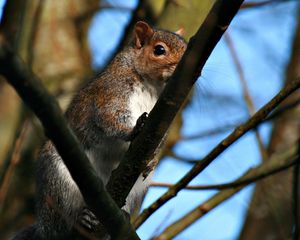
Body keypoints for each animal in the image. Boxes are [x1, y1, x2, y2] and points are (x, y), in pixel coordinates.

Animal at [12, 21, 186, 239]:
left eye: (187, 48)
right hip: (58, 183)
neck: (153, 86)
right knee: (60, 224)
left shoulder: (167, 116)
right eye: (159, 50)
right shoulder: (112, 91)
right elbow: (108, 116)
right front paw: (133, 130)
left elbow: (160, 139)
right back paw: (80, 219)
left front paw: (151, 160)